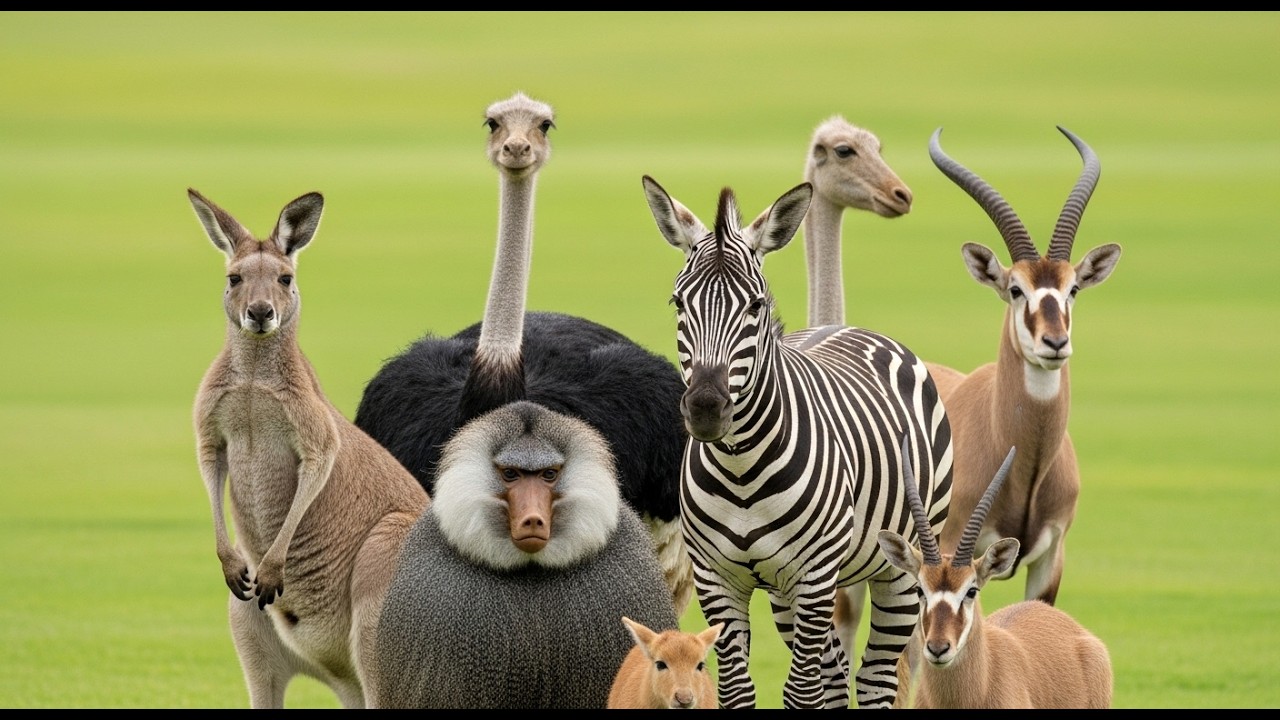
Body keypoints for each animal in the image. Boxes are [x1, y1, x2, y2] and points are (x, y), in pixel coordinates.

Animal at [188, 188, 430, 708]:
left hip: (384, 571)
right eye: (234, 278)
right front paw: (233, 563)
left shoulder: (317, 432)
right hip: (251, 629)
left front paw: (274, 568)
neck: (254, 377)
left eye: (286, 278)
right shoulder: (210, 433)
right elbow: (210, 469)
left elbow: (319, 465)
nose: (261, 313)